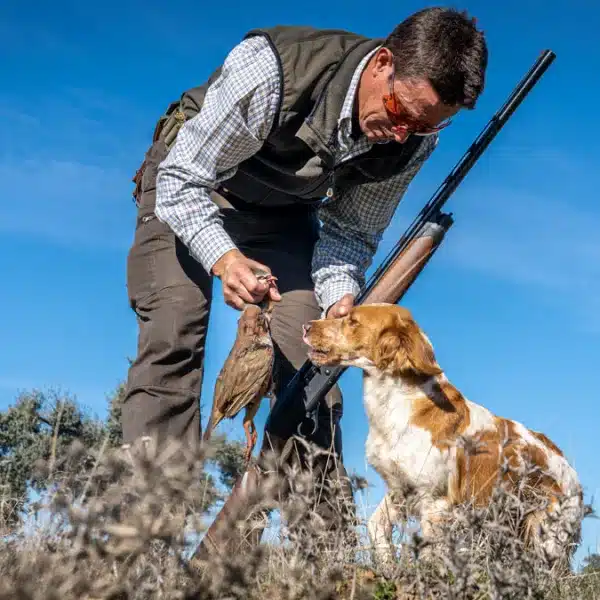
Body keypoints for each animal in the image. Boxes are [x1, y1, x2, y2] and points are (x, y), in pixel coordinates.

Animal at [302, 304, 584, 568]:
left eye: (352, 321)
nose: (306, 326)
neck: (398, 402)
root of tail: (572, 474)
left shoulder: (435, 502)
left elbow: (428, 556)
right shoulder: (400, 489)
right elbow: (376, 527)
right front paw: (386, 565)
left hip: (546, 538)